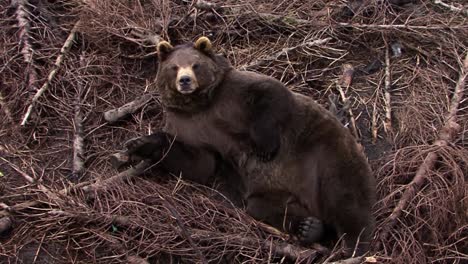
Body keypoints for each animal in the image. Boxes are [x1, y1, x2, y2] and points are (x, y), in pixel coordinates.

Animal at [125, 37, 376, 256]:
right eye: (174, 67)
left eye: (195, 65)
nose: (185, 81)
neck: (198, 105)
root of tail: (312, 201)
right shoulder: (189, 127)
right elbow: (198, 163)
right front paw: (139, 143)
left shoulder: (232, 96)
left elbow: (270, 92)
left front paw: (263, 148)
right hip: (270, 192)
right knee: (267, 209)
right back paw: (309, 227)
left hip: (323, 152)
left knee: (345, 195)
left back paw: (354, 244)